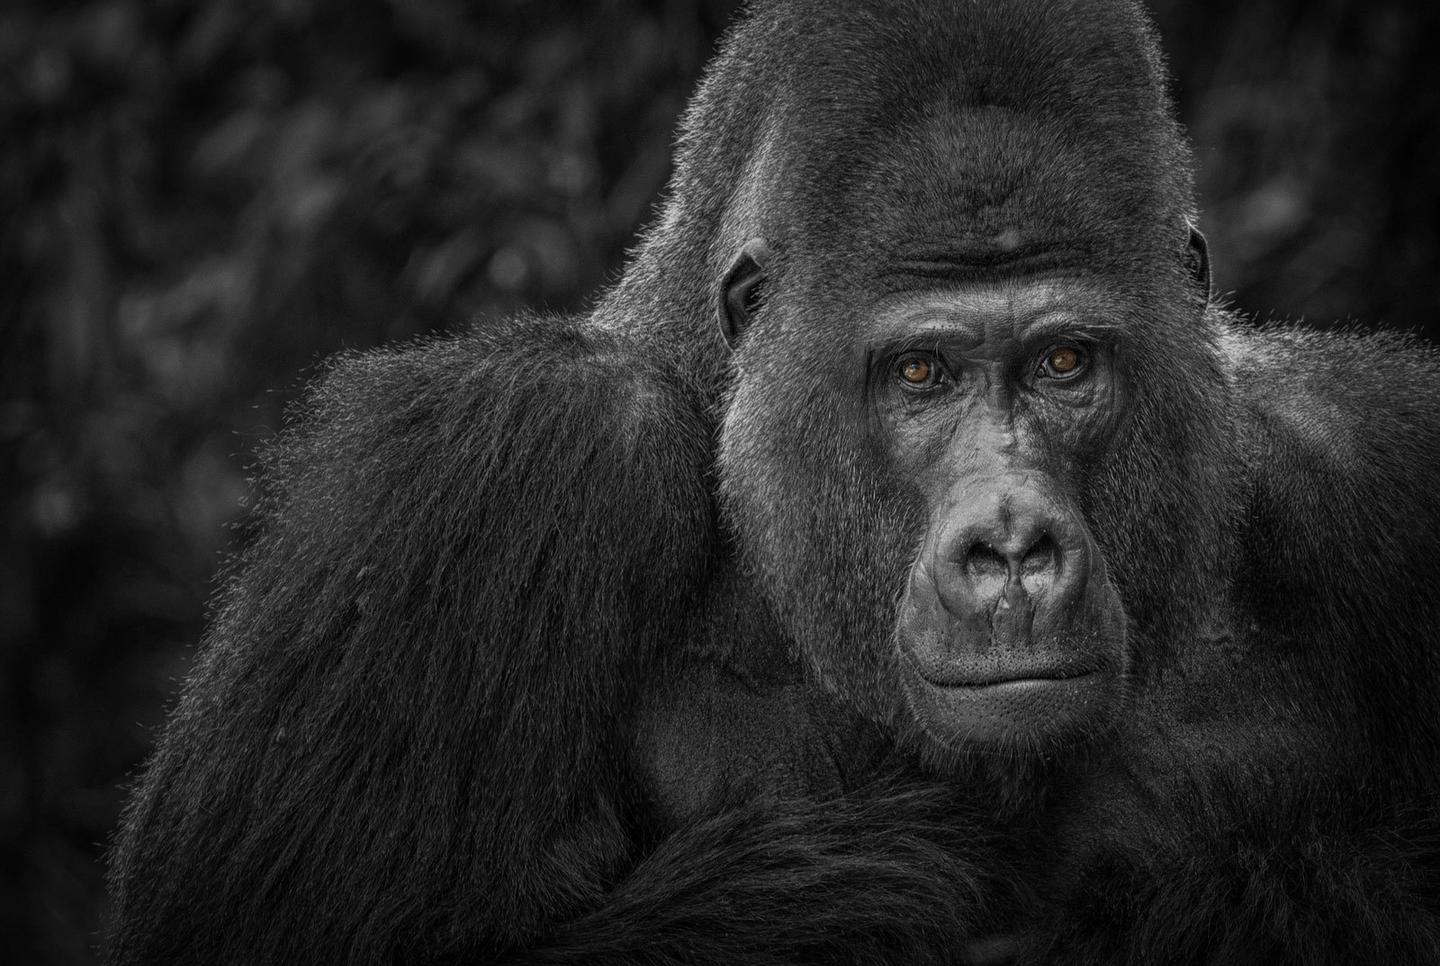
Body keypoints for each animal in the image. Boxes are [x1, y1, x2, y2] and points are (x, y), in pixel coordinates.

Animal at [106, 1, 1440, 966]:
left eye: (1065, 362)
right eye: (920, 372)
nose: (1013, 546)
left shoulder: (1378, 453)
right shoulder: (496, 462)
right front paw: (832, 897)